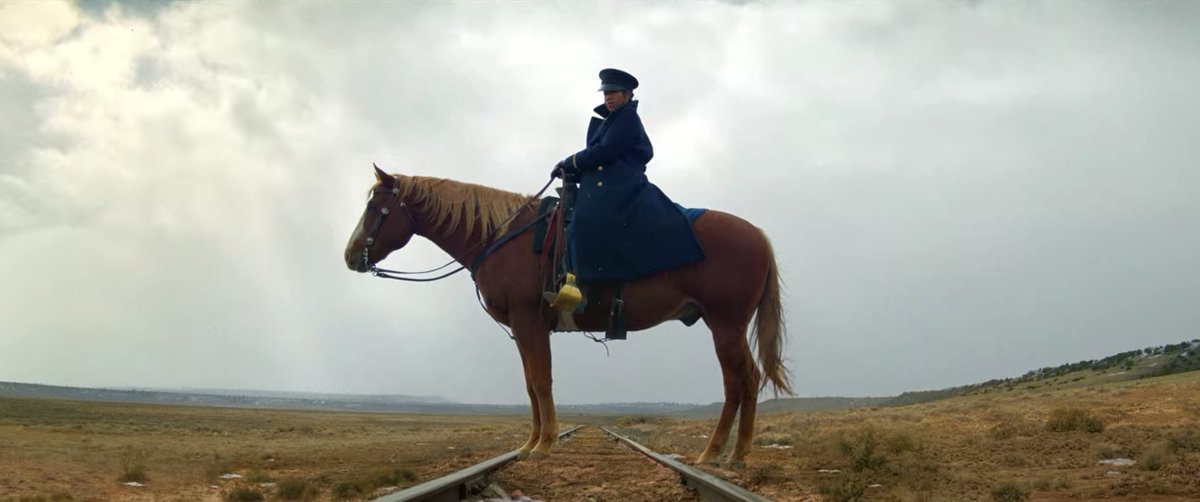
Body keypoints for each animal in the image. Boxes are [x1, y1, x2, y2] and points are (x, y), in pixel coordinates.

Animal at [343, 165, 793, 465]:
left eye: (377, 207)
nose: (350, 256)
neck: (502, 237)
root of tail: (759, 236)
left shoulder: (528, 320)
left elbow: (542, 381)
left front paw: (545, 443)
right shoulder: (524, 327)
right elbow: (530, 384)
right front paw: (530, 443)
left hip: (725, 325)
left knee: (738, 382)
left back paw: (717, 453)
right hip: (729, 326)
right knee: (747, 380)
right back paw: (733, 452)